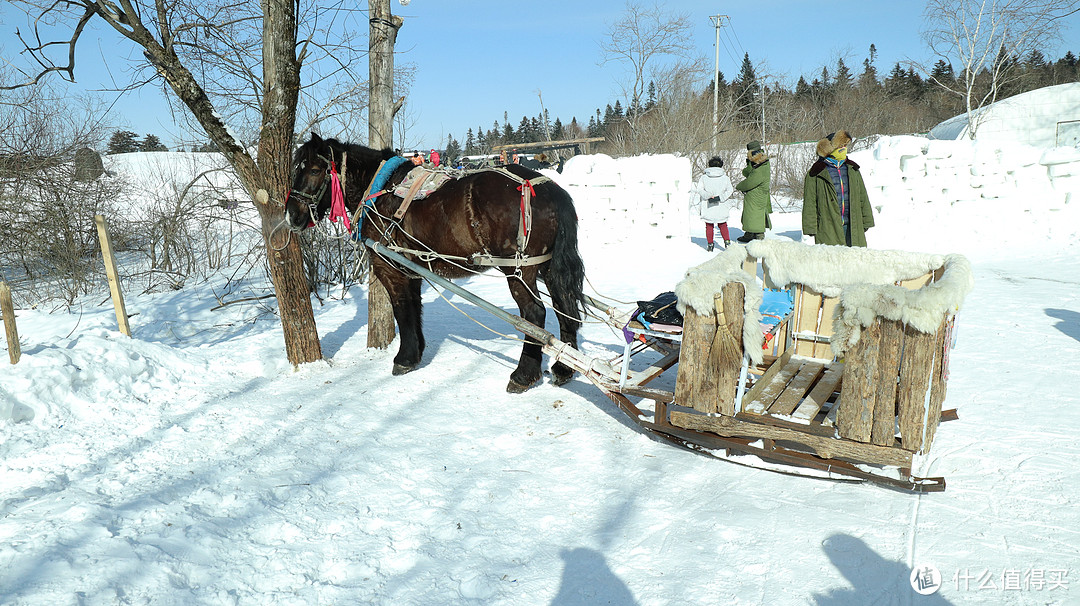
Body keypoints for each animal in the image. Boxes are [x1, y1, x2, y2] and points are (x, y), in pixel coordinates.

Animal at [285, 132, 583, 393]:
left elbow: (401, 309)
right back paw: (564, 369)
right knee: (565, 308)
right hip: (548, 266)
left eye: (314, 170)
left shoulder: (389, 267)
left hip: (519, 268)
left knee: (534, 314)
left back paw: (523, 374)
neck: (379, 190)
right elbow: (414, 308)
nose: (290, 215)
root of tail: (550, 189)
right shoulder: (412, 268)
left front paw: (404, 358)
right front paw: (415, 353)